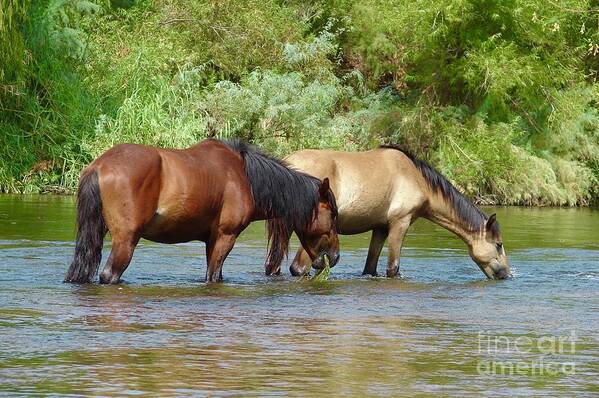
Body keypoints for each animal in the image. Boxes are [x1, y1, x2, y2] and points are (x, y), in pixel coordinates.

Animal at [64, 139, 342, 282]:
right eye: (332, 215)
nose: (335, 256)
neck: (245, 178)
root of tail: (99, 166)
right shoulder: (225, 237)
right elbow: (213, 276)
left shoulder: (211, 239)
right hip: (126, 240)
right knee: (110, 275)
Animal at [284, 145, 510, 280]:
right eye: (498, 244)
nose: (507, 274)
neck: (417, 179)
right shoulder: (400, 223)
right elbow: (393, 268)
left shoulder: (380, 228)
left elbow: (370, 268)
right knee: (298, 268)